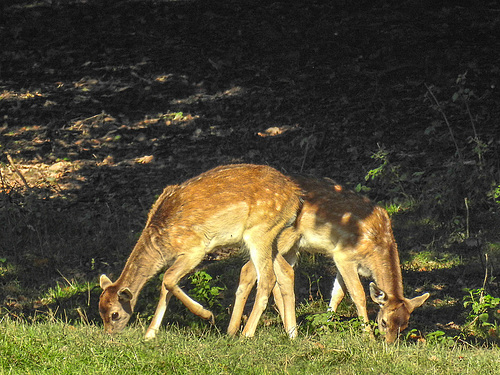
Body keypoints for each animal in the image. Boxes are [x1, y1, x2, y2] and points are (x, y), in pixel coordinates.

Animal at [97, 164, 300, 340]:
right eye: (100, 312)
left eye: (114, 314)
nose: (109, 335)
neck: (159, 246)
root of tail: (295, 194)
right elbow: (165, 287)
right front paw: (150, 334)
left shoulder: (194, 249)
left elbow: (167, 279)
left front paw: (207, 315)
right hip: (272, 237)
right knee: (285, 271)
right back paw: (291, 333)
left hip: (259, 231)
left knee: (267, 278)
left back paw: (247, 334)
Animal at [230, 176, 430, 344]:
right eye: (384, 322)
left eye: (404, 326)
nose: (388, 344)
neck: (376, 246)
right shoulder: (344, 255)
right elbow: (358, 294)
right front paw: (368, 336)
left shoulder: (342, 260)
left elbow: (338, 293)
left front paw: (325, 326)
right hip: (278, 238)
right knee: (248, 269)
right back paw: (236, 331)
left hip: (292, 247)